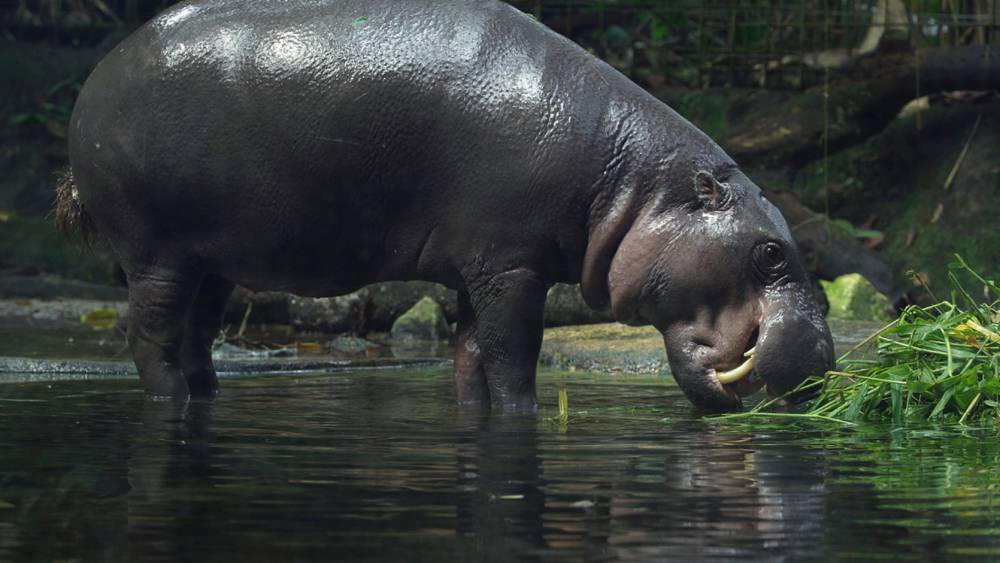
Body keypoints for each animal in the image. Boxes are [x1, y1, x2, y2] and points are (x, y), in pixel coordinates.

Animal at [56, 0, 834, 411]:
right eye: (771, 252)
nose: (825, 358)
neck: (630, 183)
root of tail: (96, 75)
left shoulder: (477, 270)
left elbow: (470, 356)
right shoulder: (513, 267)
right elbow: (515, 355)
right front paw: (522, 411)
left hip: (214, 256)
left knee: (197, 330)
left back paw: (207, 394)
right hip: (154, 251)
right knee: (150, 334)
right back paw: (169, 401)